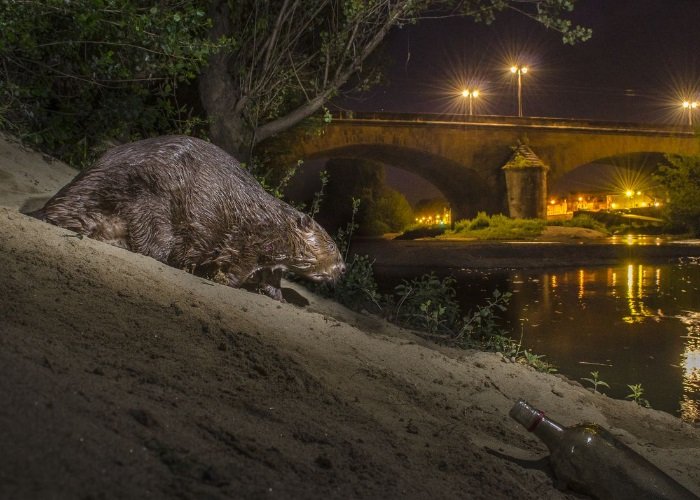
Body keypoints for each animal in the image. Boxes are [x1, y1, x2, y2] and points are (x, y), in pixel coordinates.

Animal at [31, 135, 346, 300]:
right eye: (331, 245)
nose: (342, 269)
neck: (272, 217)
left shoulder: (272, 258)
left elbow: (272, 276)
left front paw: (276, 295)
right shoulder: (252, 238)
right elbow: (241, 264)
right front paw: (224, 280)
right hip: (150, 201)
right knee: (149, 244)